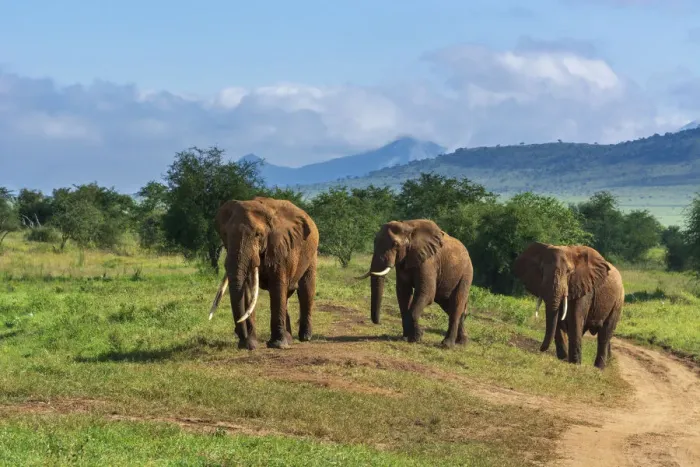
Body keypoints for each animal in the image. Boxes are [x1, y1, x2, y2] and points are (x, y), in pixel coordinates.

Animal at [208, 197, 319, 350]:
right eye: (225, 234)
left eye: (258, 235)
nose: (239, 333)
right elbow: (248, 290)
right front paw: (249, 345)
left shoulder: (280, 247)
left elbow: (277, 287)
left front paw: (278, 345)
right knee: (287, 295)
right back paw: (289, 339)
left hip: (311, 253)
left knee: (306, 290)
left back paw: (305, 337)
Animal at [357, 219, 474, 348]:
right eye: (374, 242)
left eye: (395, 244)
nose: (378, 322)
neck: (408, 226)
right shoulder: (403, 261)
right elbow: (403, 292)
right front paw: (406, 337)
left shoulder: (428, 261)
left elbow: (426, 293)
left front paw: (417, 337)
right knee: (448, 305)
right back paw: (462, 342)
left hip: (466, 274)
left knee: (456, 304)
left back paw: (447, 345)